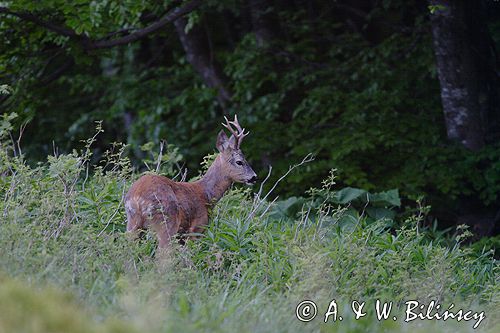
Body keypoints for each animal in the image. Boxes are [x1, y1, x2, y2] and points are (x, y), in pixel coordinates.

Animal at [124, 114, 258, 246]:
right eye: (239, 162)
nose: (254, 177)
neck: (207, 194)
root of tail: (137, 197)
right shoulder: (197, 228)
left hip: (133, 223)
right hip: (167, 221)